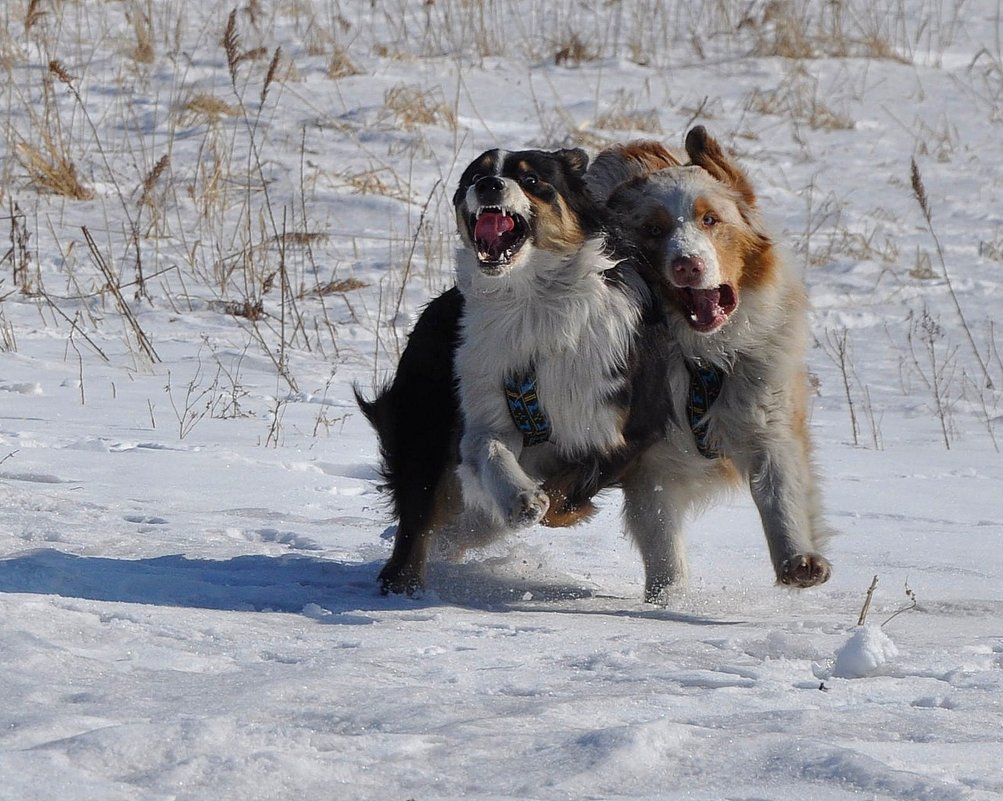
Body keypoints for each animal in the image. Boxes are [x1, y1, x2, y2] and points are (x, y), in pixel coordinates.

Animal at [357, 147, 670, 593]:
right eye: (474, 176)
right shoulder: (484, 403)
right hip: (425, 415)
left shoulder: (632, 427)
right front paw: (522, 501)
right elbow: (490, 450)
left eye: (532, 179)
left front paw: (546, 505)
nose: (489, 185)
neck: (531, 302)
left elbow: (570, 489)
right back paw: (403, 580)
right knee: (417, 514)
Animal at [589, 126, 834, 601]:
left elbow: (781, 492)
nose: (688, 264)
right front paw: (666, 599)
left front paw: (799, 561)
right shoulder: (651, 459)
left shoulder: (766, 413)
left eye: (710, 220)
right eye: (654, 229)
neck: (703, 355)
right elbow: (661, 538)